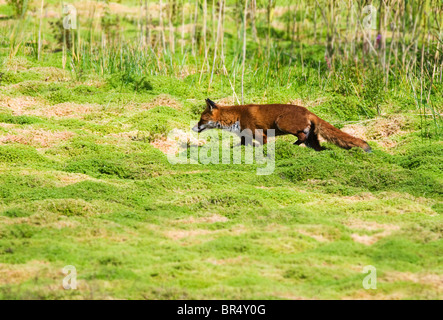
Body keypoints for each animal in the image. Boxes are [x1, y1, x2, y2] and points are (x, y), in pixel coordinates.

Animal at [193, 98, 372, 152]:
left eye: (201, 119)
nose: (193, 128)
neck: (236, 117)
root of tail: (308, 111)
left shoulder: (260, 134)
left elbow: (262, 144)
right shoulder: (245, 136)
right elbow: (241, 145)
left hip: (282, 123)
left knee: (302, 136)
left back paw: (292, 146)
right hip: (313, 140)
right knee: (316, 146)